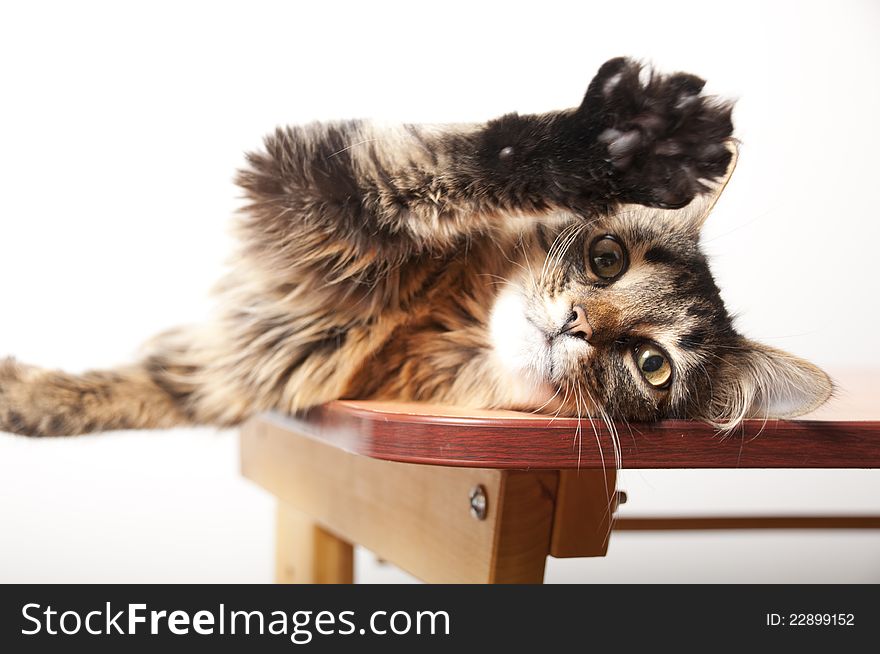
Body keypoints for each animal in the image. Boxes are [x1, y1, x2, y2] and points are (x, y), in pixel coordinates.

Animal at [0, 55, 832, 436]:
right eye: (607, 259)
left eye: (652, 366)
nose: (575, 325)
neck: (430, 324)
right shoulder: (301, 175)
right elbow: (464, 162)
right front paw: (628, 141)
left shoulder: (226, 375)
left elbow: (110, 396)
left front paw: (25, 397)